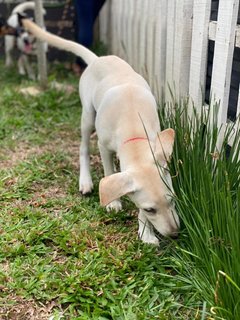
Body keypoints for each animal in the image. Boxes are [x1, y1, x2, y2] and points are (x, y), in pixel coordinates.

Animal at [21, 17, 180, 244]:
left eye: (172, 200)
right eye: (151, 209)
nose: (175, 234)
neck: (134, 131)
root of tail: (97, 59)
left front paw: (145, 232)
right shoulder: (104, 146)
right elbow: (108, 170)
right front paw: (114, 203)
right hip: (87, 117)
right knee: (83, 147)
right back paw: (85, 180)